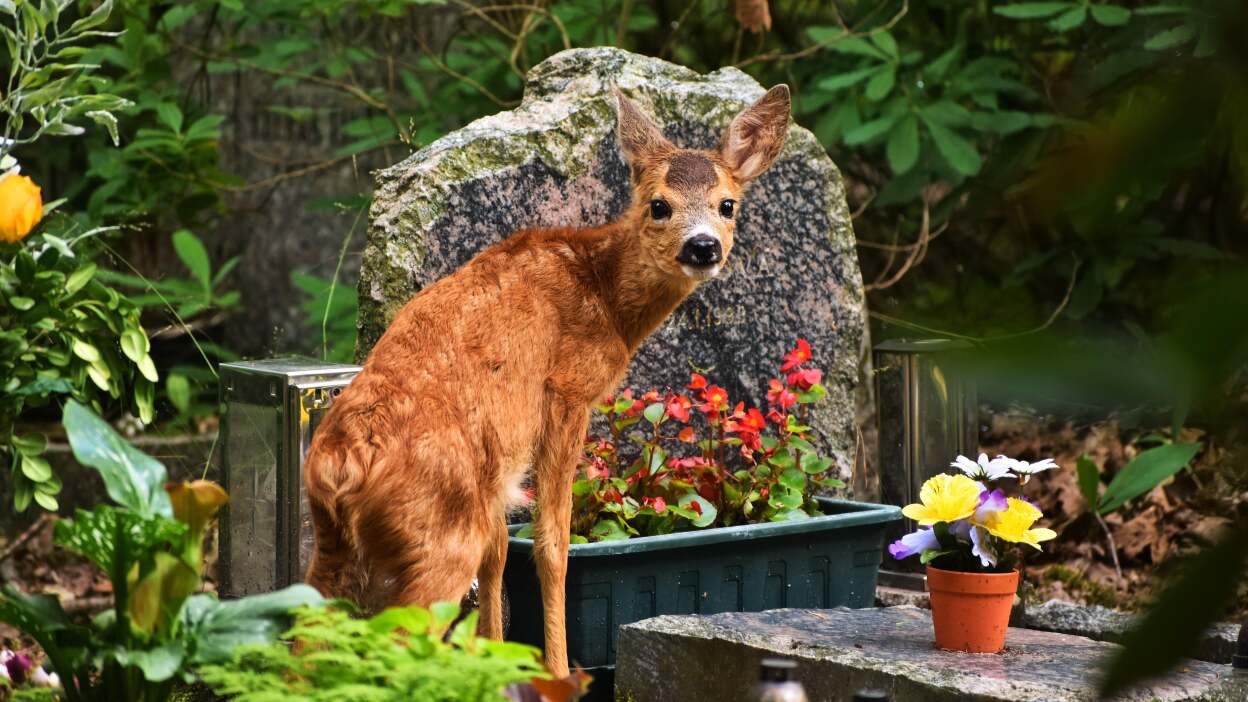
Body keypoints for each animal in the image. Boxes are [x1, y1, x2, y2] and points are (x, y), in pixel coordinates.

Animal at [302, 83, 788, 679]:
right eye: (659, 205)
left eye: (727, 204)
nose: (702, 246)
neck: (606, 296)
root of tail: (342, 465)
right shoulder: (567, 392)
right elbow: (552, 543)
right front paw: (554, 672)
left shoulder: (495, 470)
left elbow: (499, 552)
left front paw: (493, 660)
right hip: (437, 535)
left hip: (336, 547)